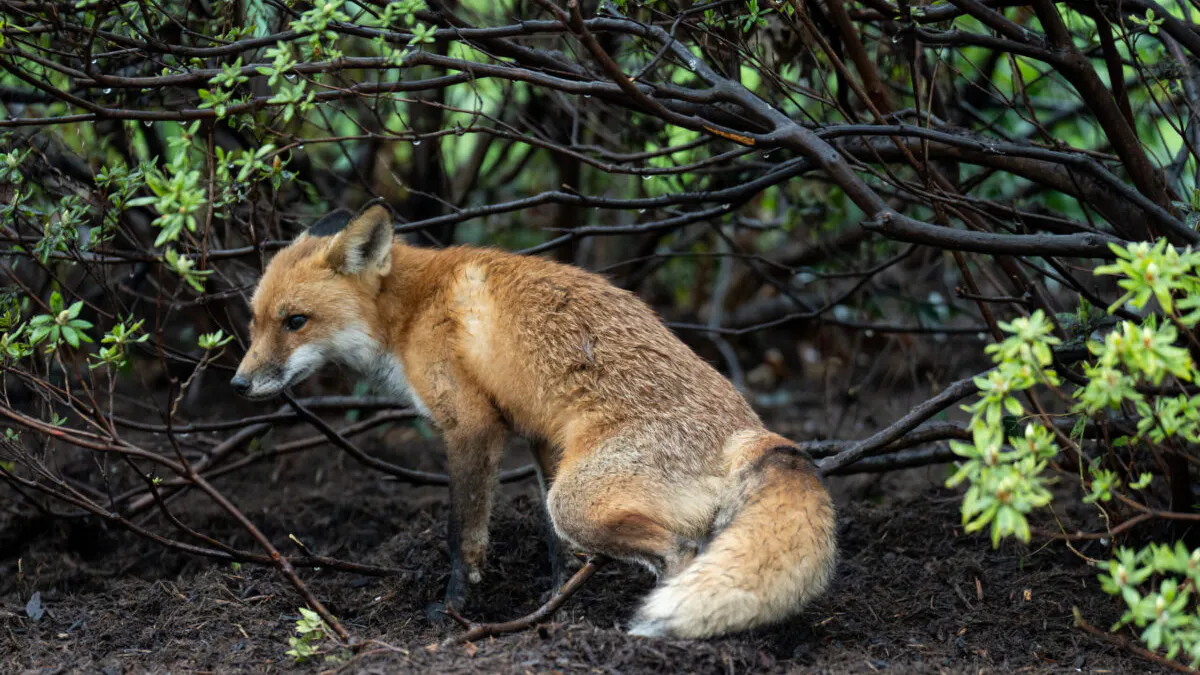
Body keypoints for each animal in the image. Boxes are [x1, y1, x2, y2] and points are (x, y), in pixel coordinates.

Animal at [230, 204, 838, 639]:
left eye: (296, 321)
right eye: (255, 321)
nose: (238, 385)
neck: (412, 312)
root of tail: (751, 431)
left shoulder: (472, 426)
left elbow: (463, 536)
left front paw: (451, 612)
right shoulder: (543, 435)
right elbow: (551, 544)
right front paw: (555, 603)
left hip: (579, 497)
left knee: (678, 552)